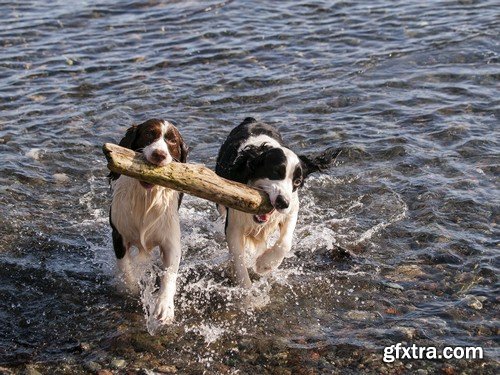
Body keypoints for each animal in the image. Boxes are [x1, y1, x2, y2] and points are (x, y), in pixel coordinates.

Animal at [109, 119, 188, 324]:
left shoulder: (170, 241)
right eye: (149, 134)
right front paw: (131, 289)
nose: (159, 154)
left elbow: (169, 275)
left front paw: (164, 307)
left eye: (172, 141)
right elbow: (125, 268)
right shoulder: (118, 235)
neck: (146, 197)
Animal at [215, 119, 340, 290]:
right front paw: (248, 291)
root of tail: (251, 119)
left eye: (297, 181)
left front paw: (265, 264)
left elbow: (285, 243)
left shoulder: (292, 209)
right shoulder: (234, 224)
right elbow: (239, 261)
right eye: (275, 172)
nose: (283, 202)